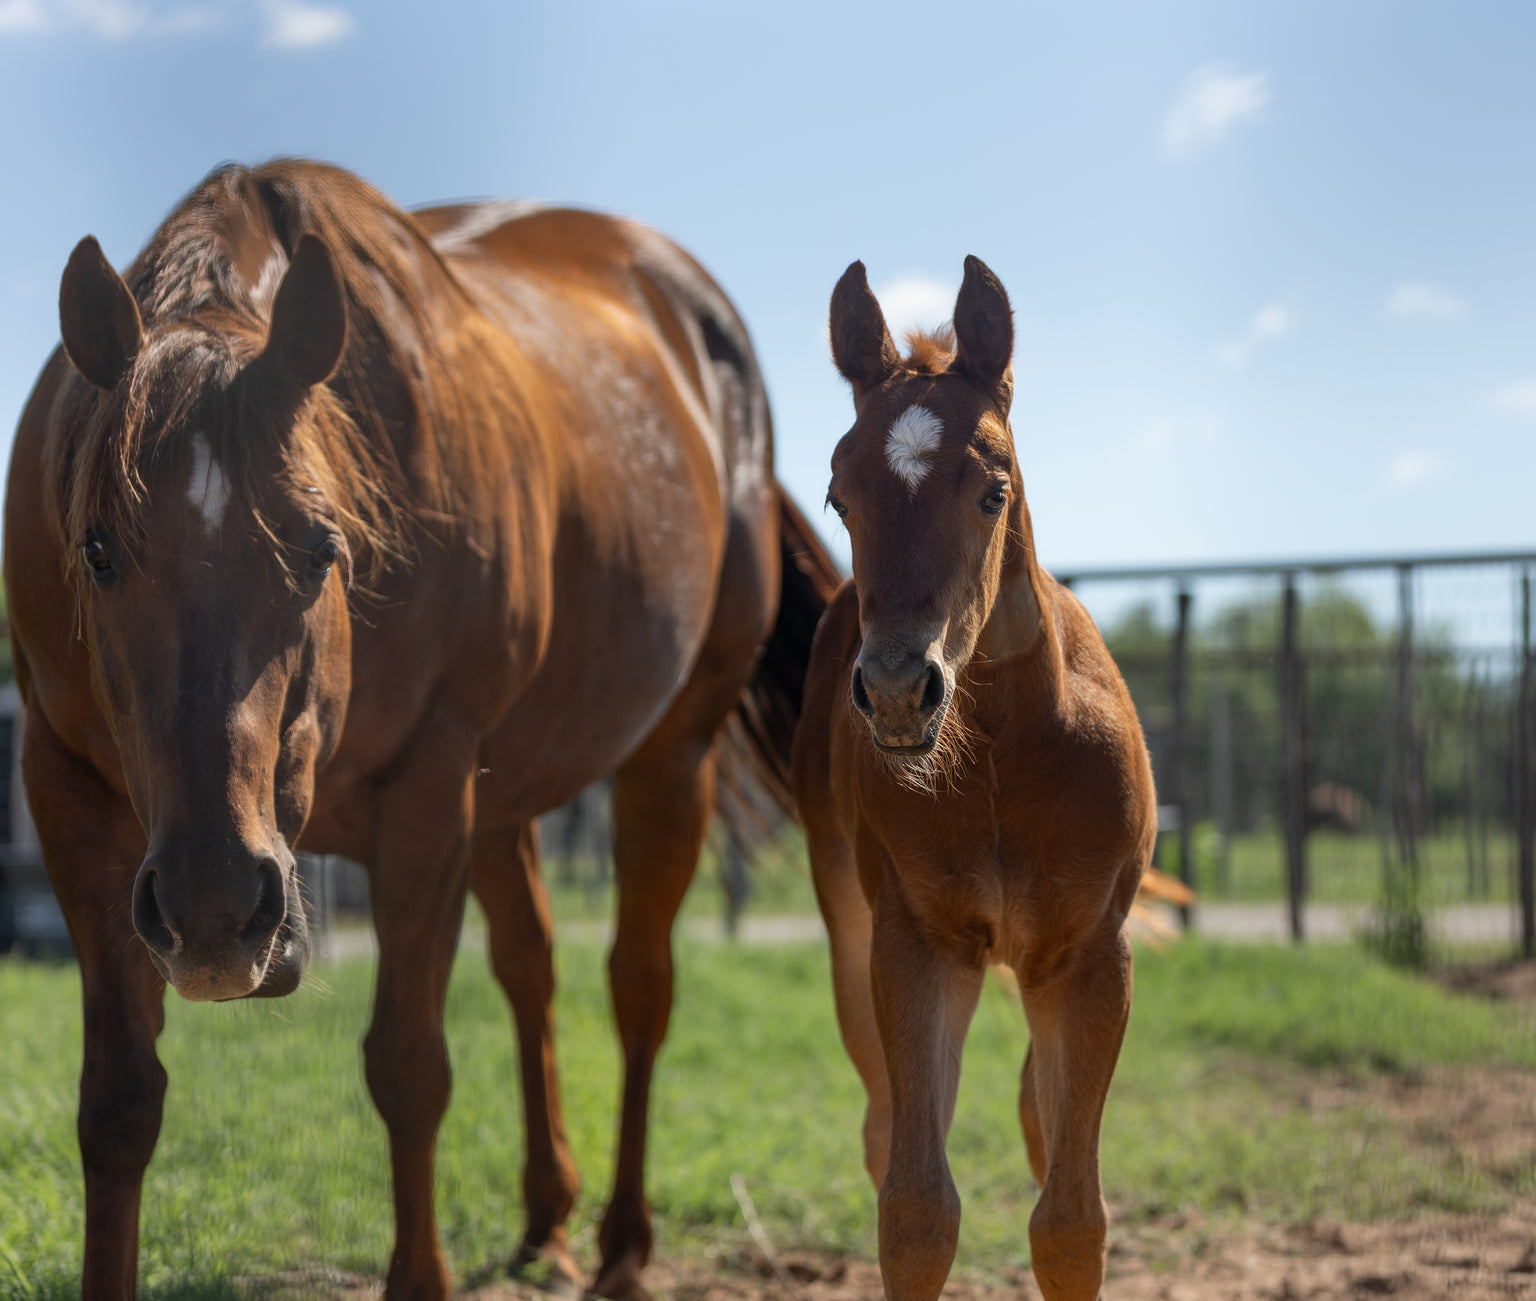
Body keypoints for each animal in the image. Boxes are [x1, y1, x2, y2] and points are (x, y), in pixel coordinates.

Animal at [4, 159, 839, 1300]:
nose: (216, 910)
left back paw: (624, 1243)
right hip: (508, 793)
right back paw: (546, 1221)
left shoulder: (428, 794)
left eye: (321, 548)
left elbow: (408, 1065)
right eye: (97, 550)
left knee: (638, 984)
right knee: (533, 964)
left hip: (668, 756)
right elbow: (120, 1099)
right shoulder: (69, 795)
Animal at [791, 256, 1157, 1301]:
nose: (896, 688)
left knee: (1040, 1122)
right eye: (839, 497)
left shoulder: (1090, 957)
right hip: (852, 931)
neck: (998, 756)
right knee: (886, 1128)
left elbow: (1072, 1218)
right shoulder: (918, 947)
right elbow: (916, 1207)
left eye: (993, 490)